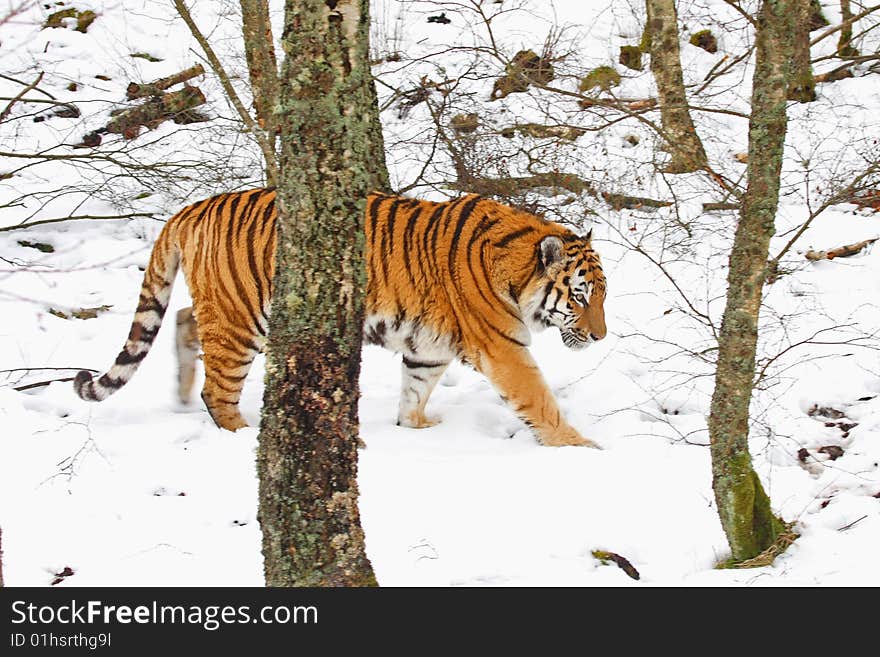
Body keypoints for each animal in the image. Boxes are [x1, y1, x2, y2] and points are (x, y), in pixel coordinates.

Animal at [74, 188, 604, 446]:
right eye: (579, 297)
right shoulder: (502, 347)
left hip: (226, 306)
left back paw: (182, 392)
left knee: (184, 318)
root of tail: (192, 207)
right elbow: (538, 399)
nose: (600, 337)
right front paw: (579, 448)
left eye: (602, 297)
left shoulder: (429, 346)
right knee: (217, 389)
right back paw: (240, 435)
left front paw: (416, 427)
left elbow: (416, 388)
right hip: (243, 320)